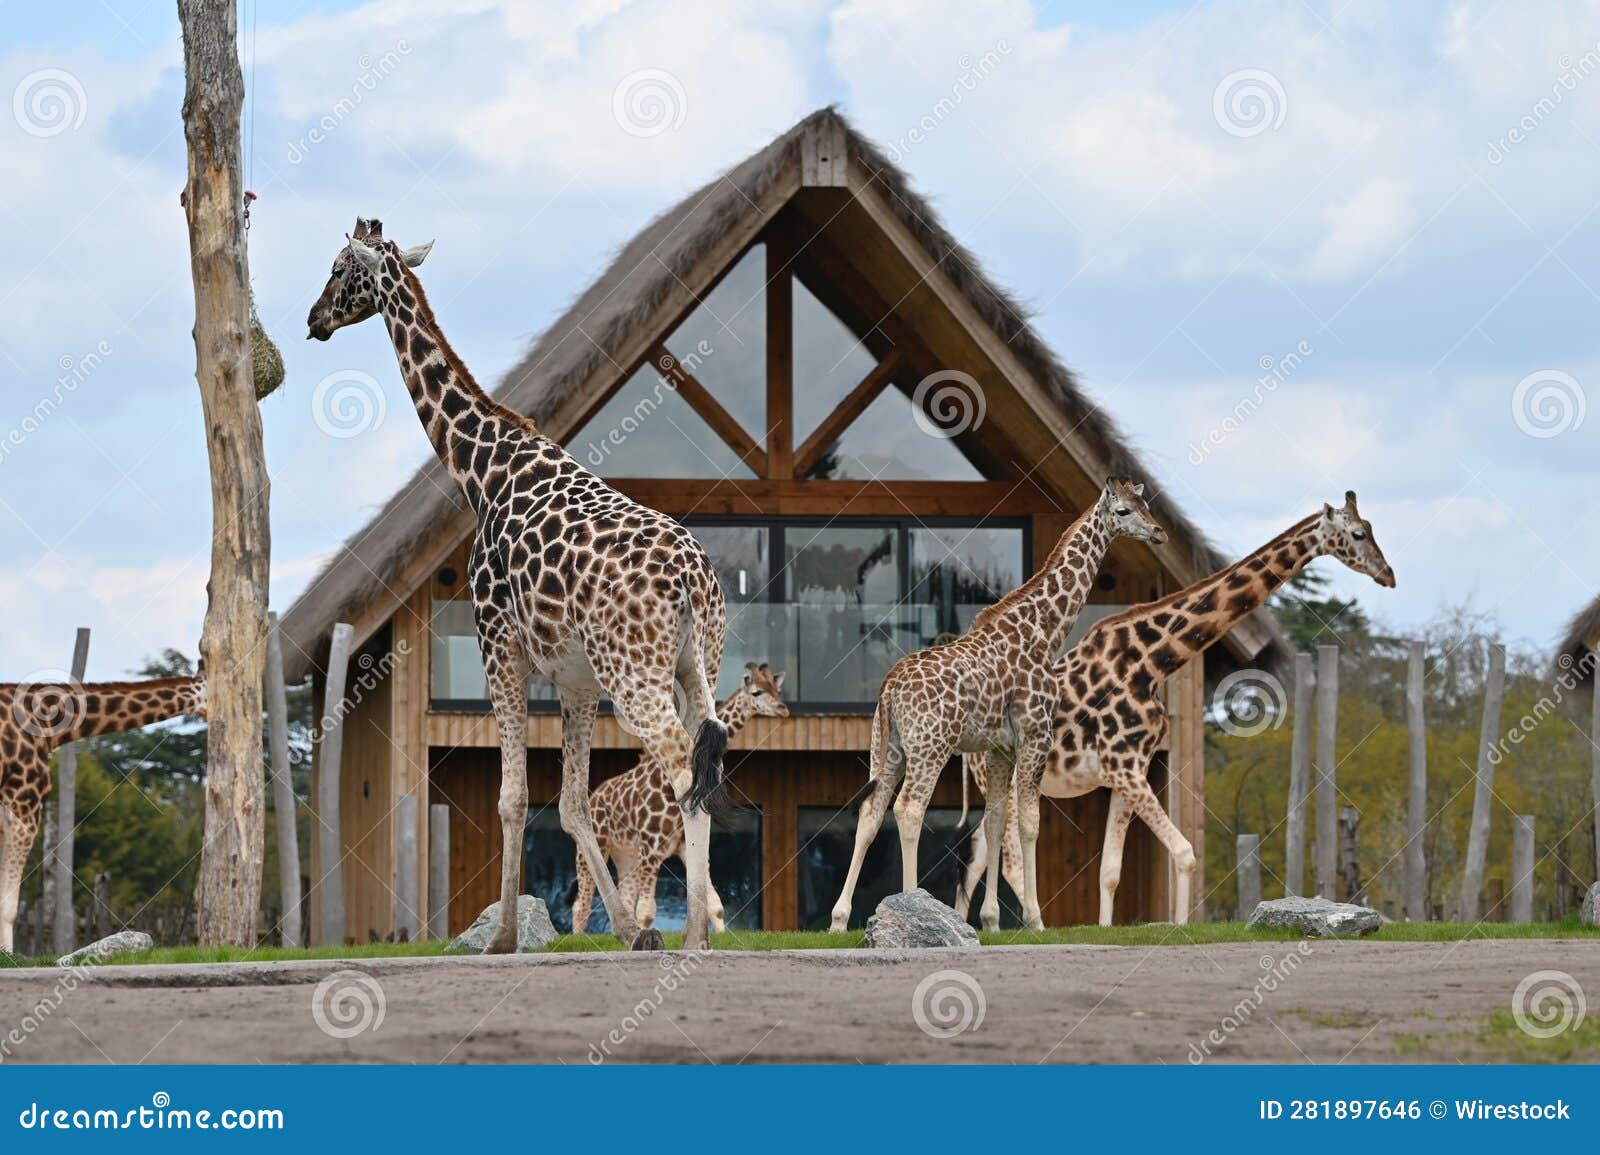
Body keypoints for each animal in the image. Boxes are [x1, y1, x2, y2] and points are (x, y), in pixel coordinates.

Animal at [307, 219, 730, 952]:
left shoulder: (497, 644)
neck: (480, 468)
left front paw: (502, 936)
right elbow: (569, 802)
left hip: (637, 673)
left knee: (682, 765)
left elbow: (512, 798)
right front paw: (627, 929)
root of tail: (692, 578)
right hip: (695, 662)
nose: (313, 320)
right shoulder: (576, 679)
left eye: (337, 268)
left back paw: (697, 938)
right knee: (710, 760)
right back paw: (692, 929)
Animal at [570, 663, 788, 935]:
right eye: (757, 692)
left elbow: (715, 906)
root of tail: (595, 795)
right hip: (596, 846)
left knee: (623, 900)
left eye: (776, 689)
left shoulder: (681, 847)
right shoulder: (651, 849)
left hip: (626, 855)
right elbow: (646, 912)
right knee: (581, 903)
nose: (783, 709)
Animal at [829, 479, 1167, 934]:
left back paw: (839, 919)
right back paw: (912, 904)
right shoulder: (1036, 734)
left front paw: (990, 921)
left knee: (870, 812)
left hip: (888, 748)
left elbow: (993, 824)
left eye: (1144, 502)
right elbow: (1028, 824)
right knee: (909, 809)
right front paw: (1035, 919)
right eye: (1124, 511)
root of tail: (889, 689)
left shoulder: (999, 748)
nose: (1159, 532)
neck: (1043, 633)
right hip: (930, 747)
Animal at [956, 491, 1395, 926]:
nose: (1388, 574)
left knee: (978, 851)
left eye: (1372, 528)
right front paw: (1181, 929)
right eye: (1358, 533)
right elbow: (1184, 854)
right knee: (1006, 856)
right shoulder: (1126, 769)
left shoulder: (1127, 771)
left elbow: (1110, 873)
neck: (1152, 662)